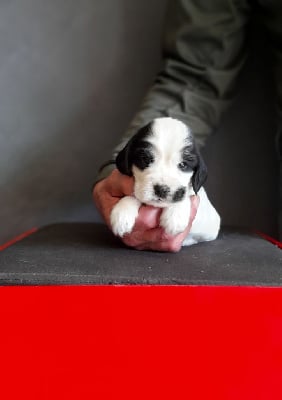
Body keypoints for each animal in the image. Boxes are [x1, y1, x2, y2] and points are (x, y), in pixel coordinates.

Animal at [110, 117, 220, 245]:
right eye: (145, 159)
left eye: (183, 165)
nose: (161, 190)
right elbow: (133, 195)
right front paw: (122, 213)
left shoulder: (209, 225)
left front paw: (175, 215)